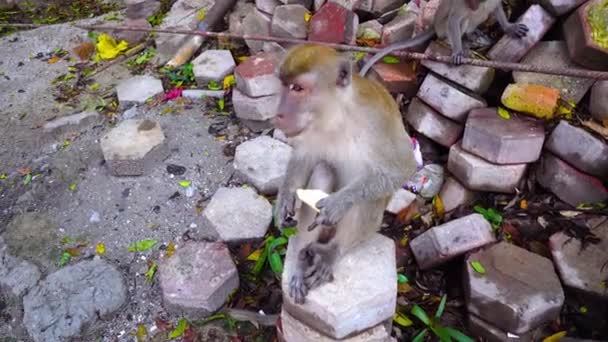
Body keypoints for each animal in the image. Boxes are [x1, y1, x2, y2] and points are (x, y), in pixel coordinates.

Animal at [274, 44, 416, 304]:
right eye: (283, 85)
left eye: (297, 88)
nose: (279, 114)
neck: (336, 116)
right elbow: (305, 158)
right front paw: (285, 199)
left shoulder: (377, 121)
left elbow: (403, 168)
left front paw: (338, 203)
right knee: (323, 170)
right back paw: (302, 259)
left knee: (369, 197)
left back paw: (331, 252)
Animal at [358, 0, 528, 75]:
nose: (473, 5)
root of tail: (434, 24)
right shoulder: (462, 5)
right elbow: (454, 19)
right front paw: (458, 51)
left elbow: (496, 7)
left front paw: (509, 27)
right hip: (442, 27)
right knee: (461, 20)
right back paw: (461, 42)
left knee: (481, 14)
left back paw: (472, 34)